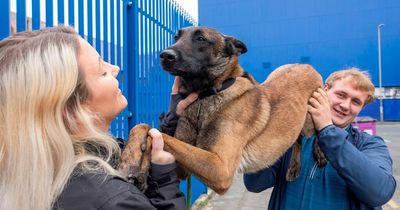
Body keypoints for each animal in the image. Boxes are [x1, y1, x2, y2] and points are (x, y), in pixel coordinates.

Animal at [117, 26, 326, 194]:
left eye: (201, 39)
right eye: (176, 37)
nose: (165, 55)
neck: (204, 96)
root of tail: (305, 65)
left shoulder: (220, 169)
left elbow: (152, 132)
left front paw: (129, 160)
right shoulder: (182, 170)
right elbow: (148, 130)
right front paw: (138, 167)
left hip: (310, 118)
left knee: (317, 129)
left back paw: (320, 153)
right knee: (296, 139)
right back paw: (294, 167)